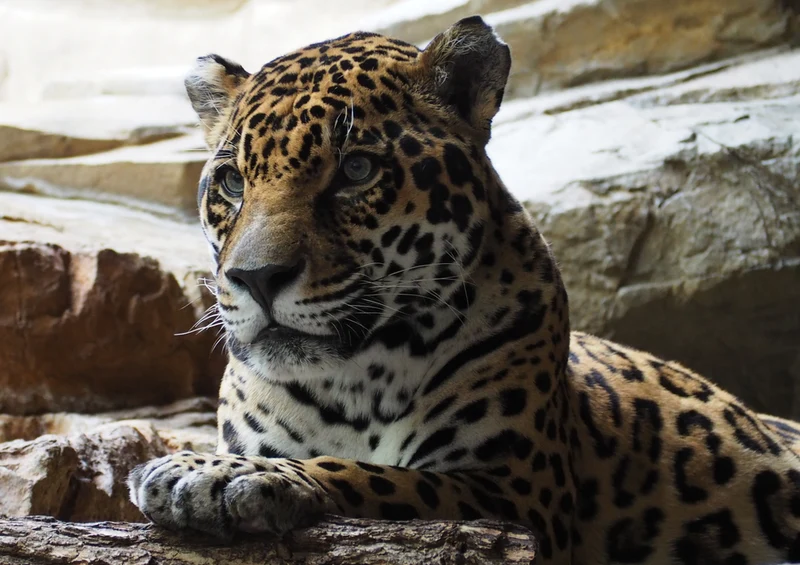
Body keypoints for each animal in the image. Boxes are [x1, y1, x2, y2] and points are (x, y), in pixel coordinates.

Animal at [128, 16, 800, 564]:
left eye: (356, 170)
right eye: (232, 183)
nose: (255, 278)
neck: (351, 381)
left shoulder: (516, 493)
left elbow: (375, 475)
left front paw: (209, 473)